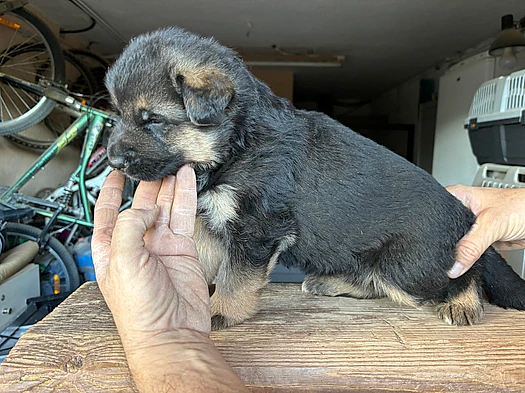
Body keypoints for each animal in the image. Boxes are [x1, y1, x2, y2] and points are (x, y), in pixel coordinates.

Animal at [103, 27, 524, 328]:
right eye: (119, 115)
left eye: (152, 120)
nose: (113, 159)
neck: (236, 144)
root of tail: (465, 216)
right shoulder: (213, 221)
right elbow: (207, 261)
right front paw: (196, 292)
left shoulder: (258, 228)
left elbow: (236, 277)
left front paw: (219, 310)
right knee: (375, 284)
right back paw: (329, 282)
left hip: (408, 266)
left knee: (462, 274)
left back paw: (463, 302)